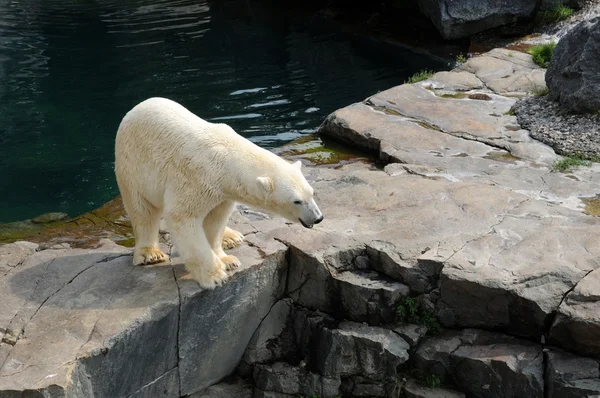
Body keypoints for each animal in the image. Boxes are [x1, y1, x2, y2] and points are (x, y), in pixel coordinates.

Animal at [116, 97, 324, 288]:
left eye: (311, 193)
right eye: (297, 201)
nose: (318, 218)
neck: (225, 157)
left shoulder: (222, 192)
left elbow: (215, 220)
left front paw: (227, 260)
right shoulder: (195, 178)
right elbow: (182, 217)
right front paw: (215, 275)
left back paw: (231, 237)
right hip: (133, 166)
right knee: (143, 211)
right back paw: (151, 254)